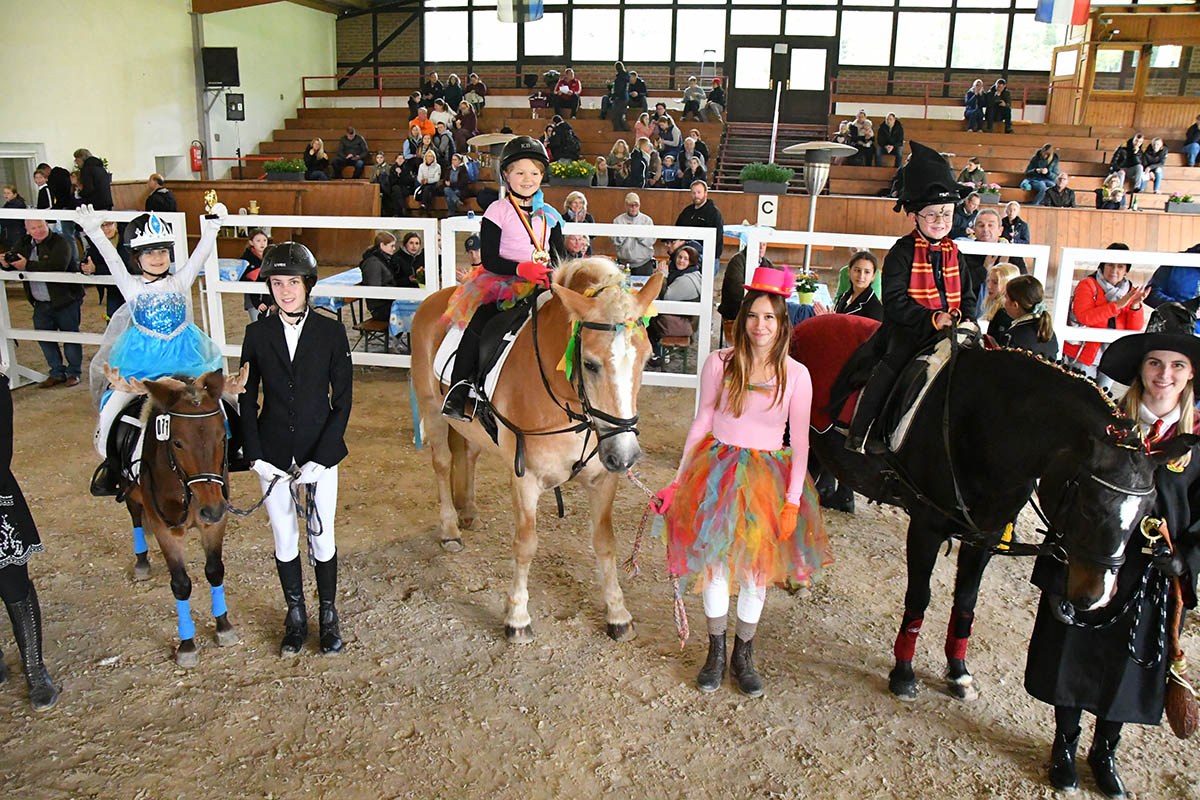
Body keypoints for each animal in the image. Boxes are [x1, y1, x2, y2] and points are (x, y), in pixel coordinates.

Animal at [108, 371, 246, 671]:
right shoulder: (166, 530)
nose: (211, 509)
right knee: (135, 517)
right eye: (178, 442)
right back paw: (142, 563)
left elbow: (215, 571)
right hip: (129, 491)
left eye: (222, 437)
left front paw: (224, 627)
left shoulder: (214, 524)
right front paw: (187, 645)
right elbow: (181, 584)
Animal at [408, 257, 662, 642]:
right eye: (589, 363)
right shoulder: (525, 479)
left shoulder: (604, 478)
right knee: (442, 464)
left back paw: (469, 512)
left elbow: (605, 542)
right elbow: (526, 544)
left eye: (646, 359)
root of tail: (436, 298)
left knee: (469, 456)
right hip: (432, 411)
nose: (626, 456)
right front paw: (517, 618)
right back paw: (451, 529)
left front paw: (618, 614)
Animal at [787, 311, 1190, 700]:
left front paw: (959, 673)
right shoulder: (926, 527)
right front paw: (903, 674)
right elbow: (919, 597)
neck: (987, 423)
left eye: (1146, 513)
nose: (1096, 598)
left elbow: (966, 601)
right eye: (1090, 506)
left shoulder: (986, 534)